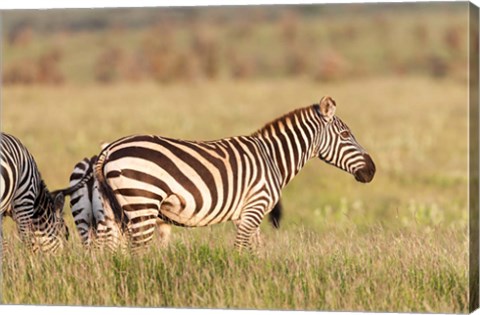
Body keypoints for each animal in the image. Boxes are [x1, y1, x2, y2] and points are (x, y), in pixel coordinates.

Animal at [94, 96, 376, 252]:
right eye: (346, 135)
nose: (372, 170)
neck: (273, 158)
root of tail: (108, 149)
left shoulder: (246, 215)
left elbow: (256, 251)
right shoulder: (254, 207)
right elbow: (241, 249)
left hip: (115, 211)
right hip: (142, 203)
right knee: (137, 252)